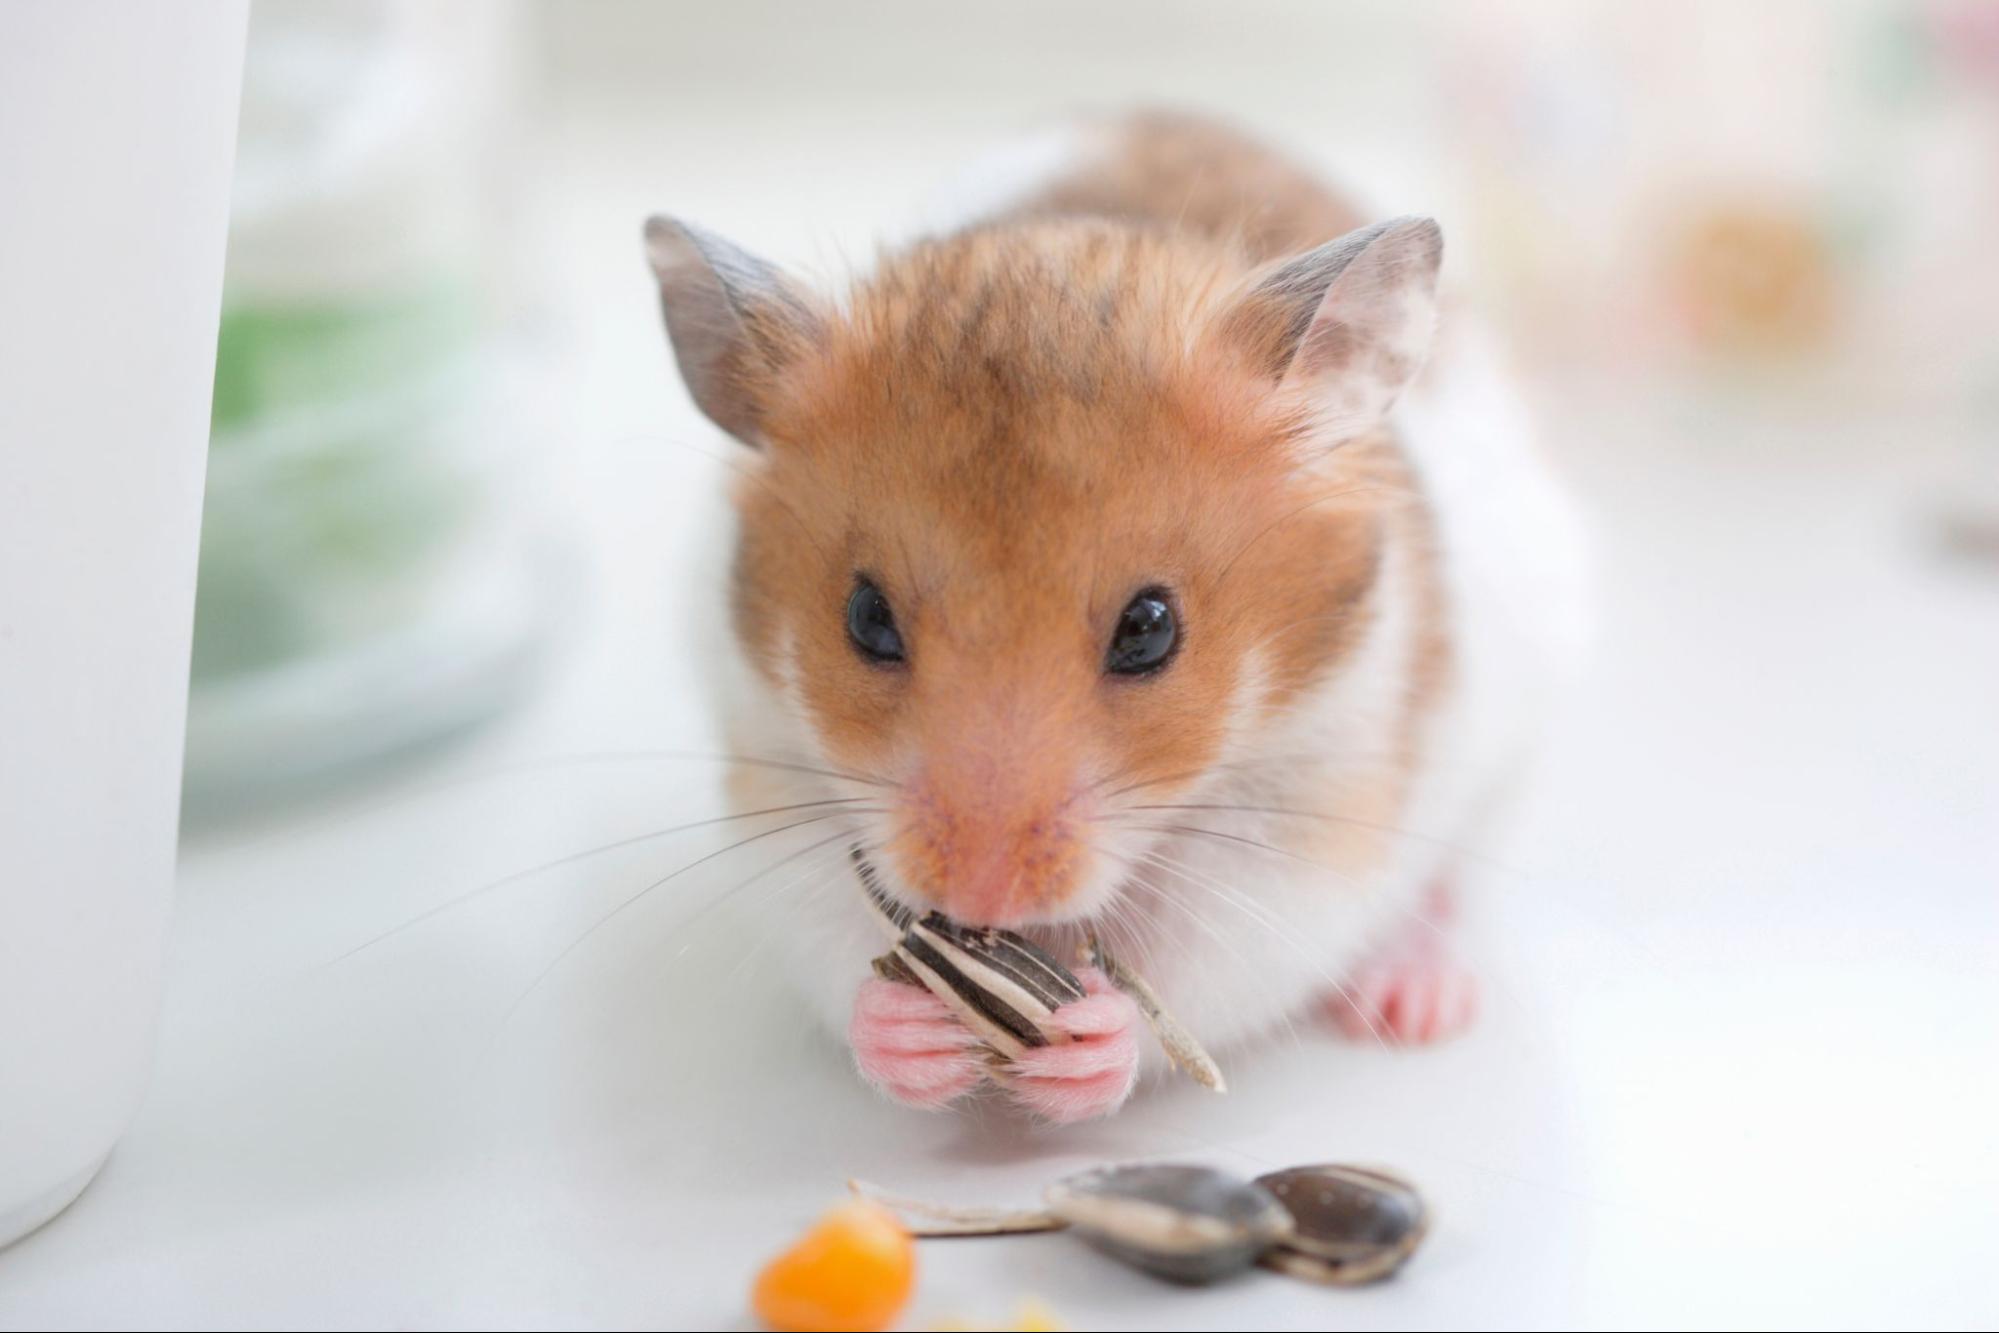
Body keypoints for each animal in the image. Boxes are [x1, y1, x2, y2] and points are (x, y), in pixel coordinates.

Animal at [647, 109, 1583, 1119]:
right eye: (865, 618)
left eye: (1149, 630)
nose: (981, 901)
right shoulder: (771, 770)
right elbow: (829, 933)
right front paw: (914, 1033)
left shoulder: (1312, 814)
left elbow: (1202, 962)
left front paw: (1083, 1037)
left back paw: (1417, 1003)